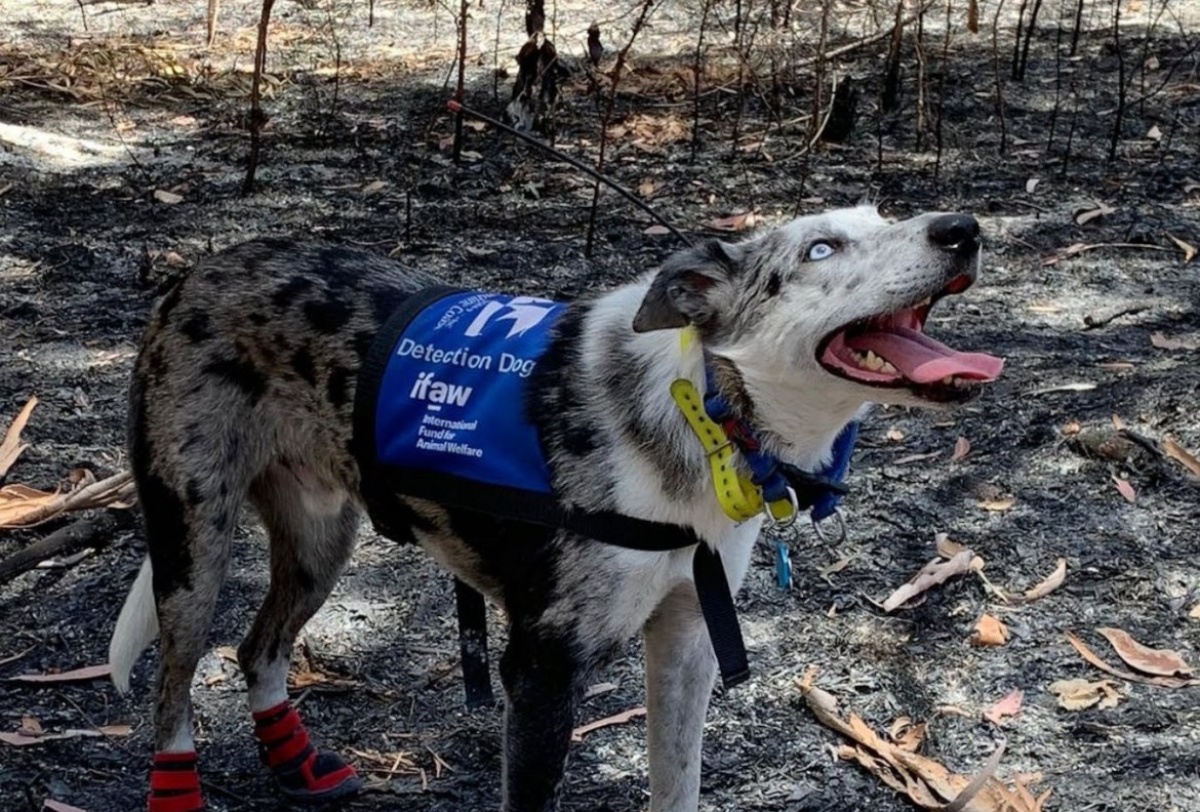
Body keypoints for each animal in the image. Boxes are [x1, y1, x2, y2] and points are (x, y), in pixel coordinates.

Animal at [108, 207, 1003, 810]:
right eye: (821, 248)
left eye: (884, 216)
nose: (963, 229)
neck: (705, 412)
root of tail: (196, 272)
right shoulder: (540, 673)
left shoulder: (686, 642)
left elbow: (676, 786)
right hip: (193, 545)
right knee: (174, 687)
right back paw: (178, 785)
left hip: (320, 542)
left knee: (257, 648)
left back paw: (293, 762)